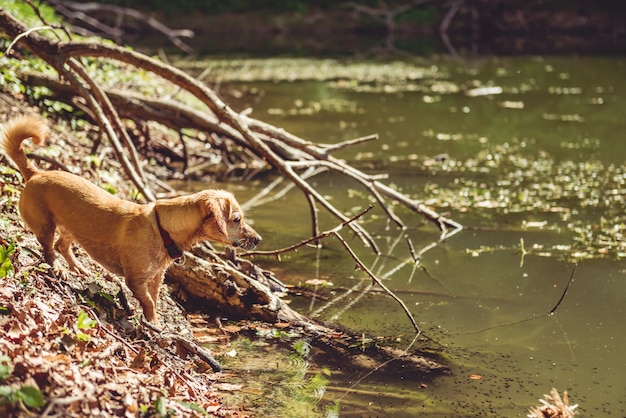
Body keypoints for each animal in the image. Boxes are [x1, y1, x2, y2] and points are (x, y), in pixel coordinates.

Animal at [1, 115, 260, 324]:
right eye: (237, 219)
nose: (258, 240)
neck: (162, 229)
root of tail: (36, 173)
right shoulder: (135, 280)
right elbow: (149, 302)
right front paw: (152, 325)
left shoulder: (155, 279)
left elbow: (154, 300)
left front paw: (154, 323)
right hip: (46, 225)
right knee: (49, 250)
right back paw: (59, 269)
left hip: (72, 228)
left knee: (61, 245)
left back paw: (78, 268)